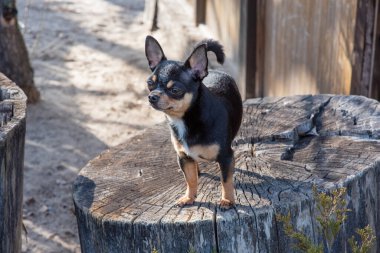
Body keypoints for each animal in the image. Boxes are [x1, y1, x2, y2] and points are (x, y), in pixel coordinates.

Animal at [144, 36, 242, 210]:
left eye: (175, 90)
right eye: (150, 83)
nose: (152, 96)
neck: (185, 119)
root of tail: (214, 70)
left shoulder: (226, 157)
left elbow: (226, 180)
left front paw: (227, 200)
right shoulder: (184, 157)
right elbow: (190, 180)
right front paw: (189, 197)